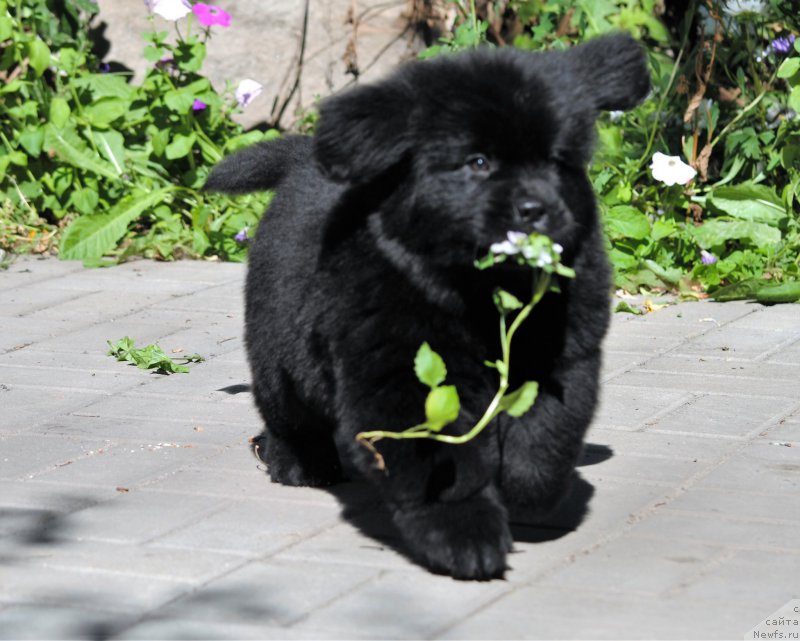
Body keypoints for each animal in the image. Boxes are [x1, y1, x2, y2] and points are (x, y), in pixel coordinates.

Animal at [206, 33, 648, 580]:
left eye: (557, 160)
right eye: (478, 162)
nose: (537, 210)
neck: (476, 290)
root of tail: (301, 159)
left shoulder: (559, 353)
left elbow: (545, 432)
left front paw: (524, 489)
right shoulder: (404, 373)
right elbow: (440, 462)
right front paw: (466, 538)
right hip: (277, 343)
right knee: (286, 408)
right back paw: (299, 463)